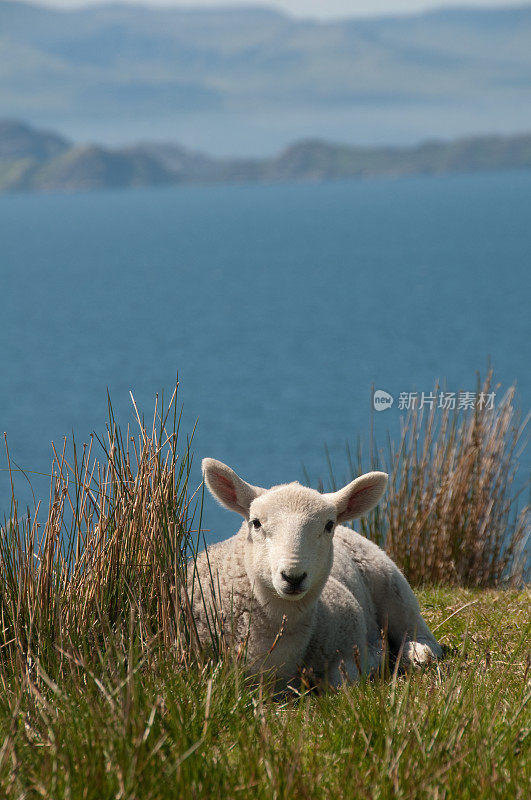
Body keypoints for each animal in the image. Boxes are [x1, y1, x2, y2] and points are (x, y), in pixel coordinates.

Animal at [189, 456, 442, 688]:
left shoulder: (350, 641)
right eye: (256, 522)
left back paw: (417, 653)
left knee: (420, 634)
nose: (293, 577)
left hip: (393, 587)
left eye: (329, 525)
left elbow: (341, 681)